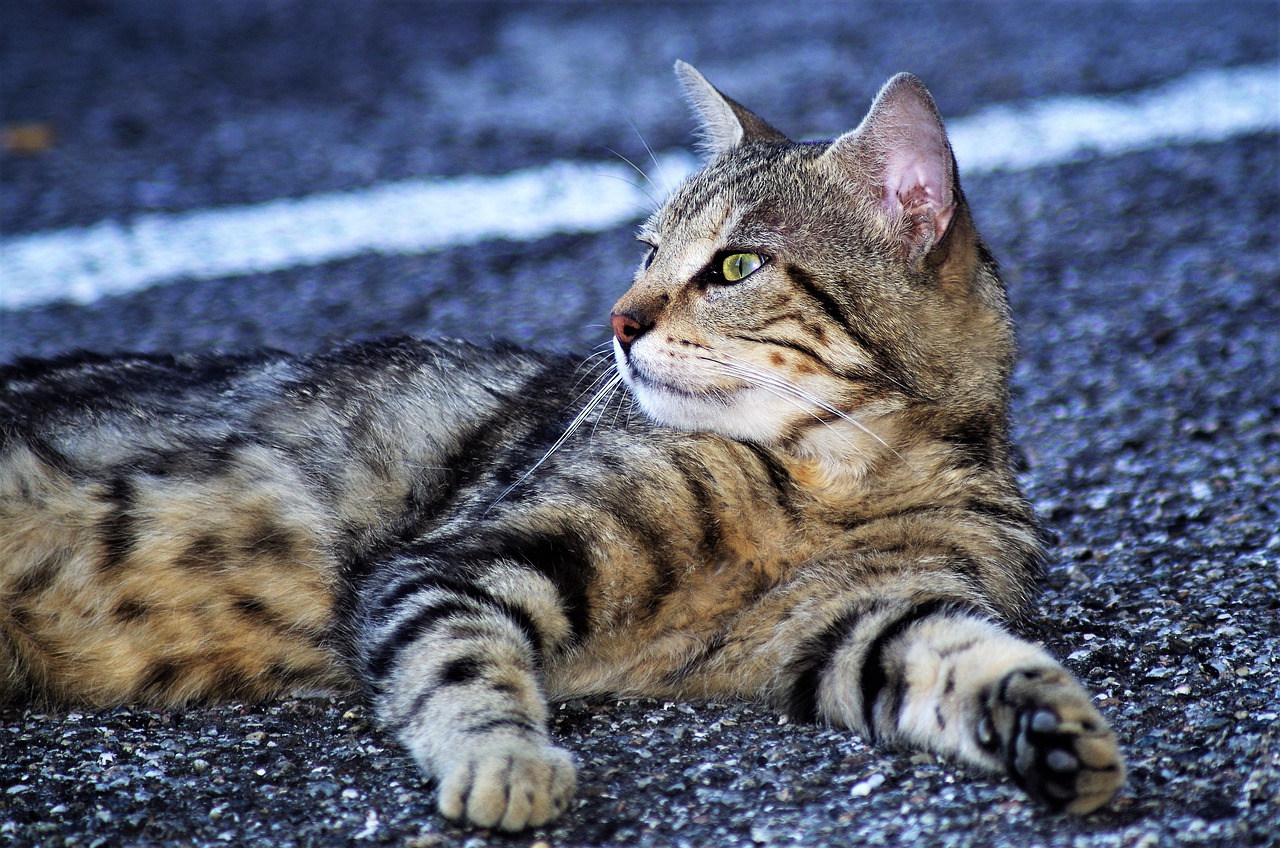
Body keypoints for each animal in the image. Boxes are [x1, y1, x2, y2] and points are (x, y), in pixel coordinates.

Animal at [0, 63, 1121, 835]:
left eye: (735, 266)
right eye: (647, 252)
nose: (619, 321)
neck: (831, 477)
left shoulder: (855, 627)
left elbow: (967, 657)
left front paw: (1050, 727)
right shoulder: (458, 562)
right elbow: (463, 669)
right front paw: (507, 763)